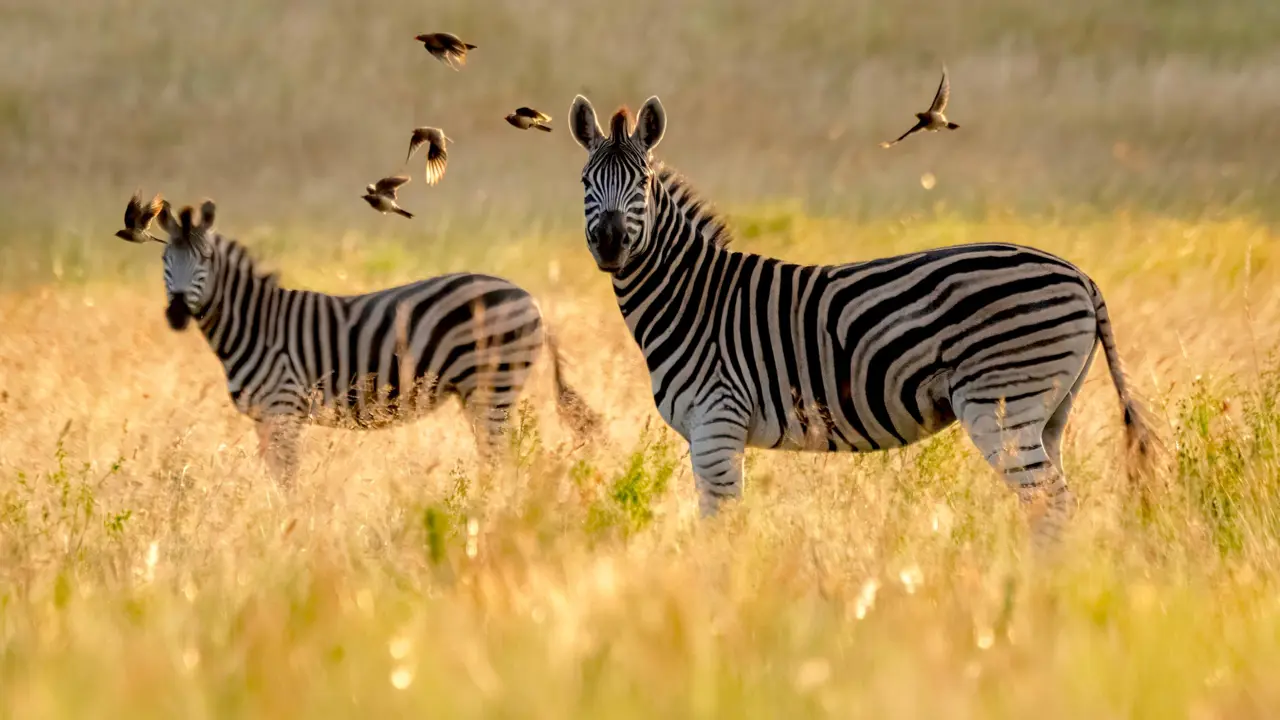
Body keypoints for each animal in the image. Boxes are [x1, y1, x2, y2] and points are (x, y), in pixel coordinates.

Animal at [147, 200, 598, 485]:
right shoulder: (265, 418)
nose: (177, 313)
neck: (256, 323)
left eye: (205, 260)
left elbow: (289, 481)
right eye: (164, 261)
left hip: (494, 383)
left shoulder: (284, 408)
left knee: (499, 458)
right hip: (484, 391)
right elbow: (275, 479)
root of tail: (529, 298)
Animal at [565, 94, 1154, 547]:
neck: (691, 295)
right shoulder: (708, 433)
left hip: (999, 404)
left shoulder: (717, 424)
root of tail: (1080, 275)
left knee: (1049, 502)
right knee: (1053, 502)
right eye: (585, 181)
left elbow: (721, 528)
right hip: (1049, 410)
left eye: (642, 182)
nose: (610, 242)